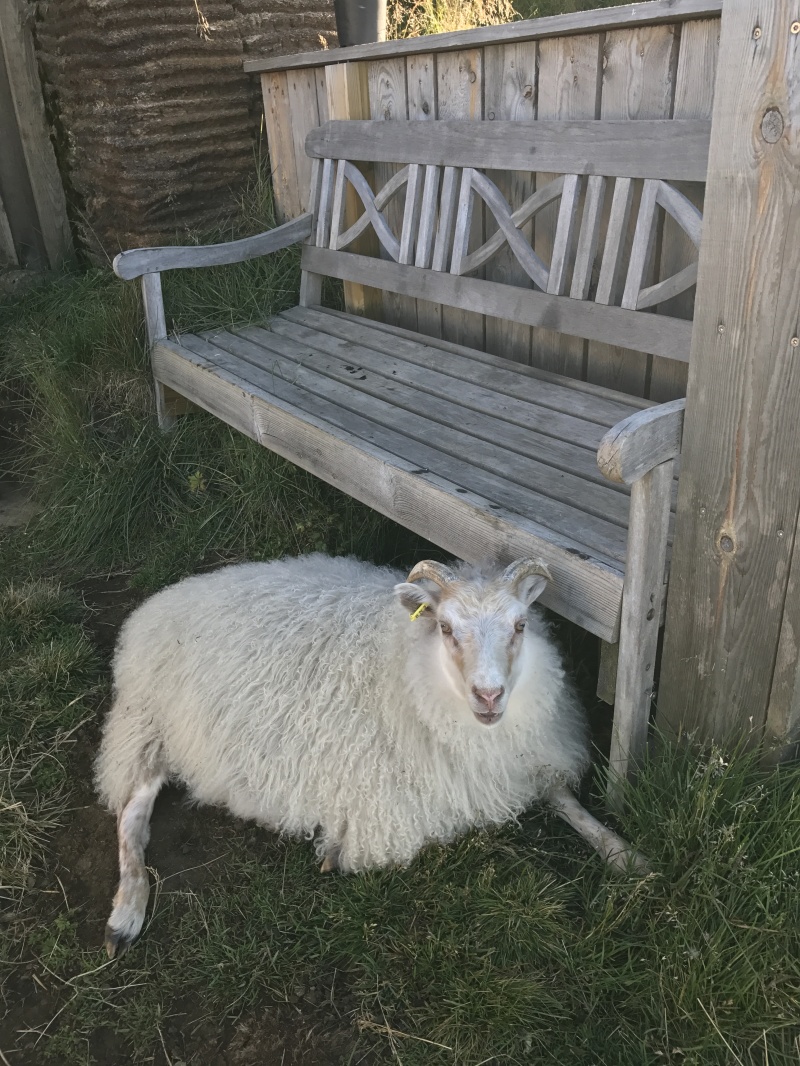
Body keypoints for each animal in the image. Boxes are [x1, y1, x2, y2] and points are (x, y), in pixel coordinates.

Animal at [95, 553, 648, 958]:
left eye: (519, 625)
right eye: (446, 628)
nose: (489, 696)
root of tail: (160, 603)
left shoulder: (524, 762)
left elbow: (564, 798)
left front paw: (624, 854)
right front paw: (333, 854)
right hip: (148, 723)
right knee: (132, 814)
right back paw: (126, 911)